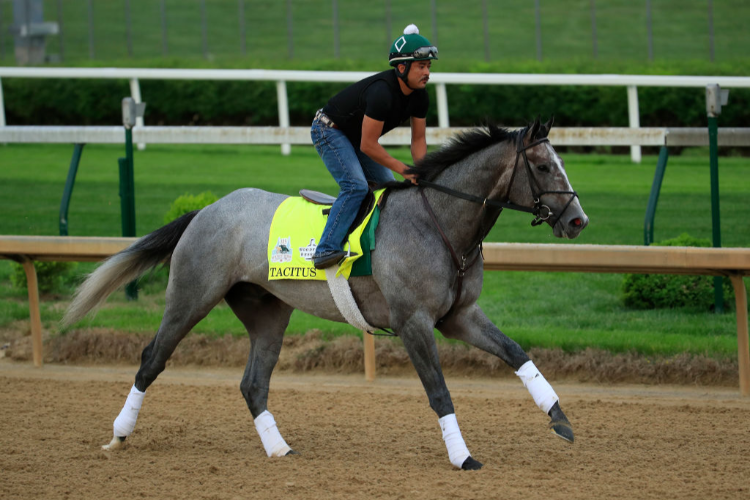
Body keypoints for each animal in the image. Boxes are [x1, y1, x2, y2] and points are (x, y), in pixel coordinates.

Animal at [63, 117, 588, 468]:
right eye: (544, 166)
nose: (578, 220)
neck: (438, 222)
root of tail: (206, 209)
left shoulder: (458, 315)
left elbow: (517, 353)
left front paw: (560, 419)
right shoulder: (414, 322)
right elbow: (439, 390)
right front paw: (463, 457)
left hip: (268, 313)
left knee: (253, 383)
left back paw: (279, 448)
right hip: (190, 296)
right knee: (152, 359)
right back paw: (119, 435)